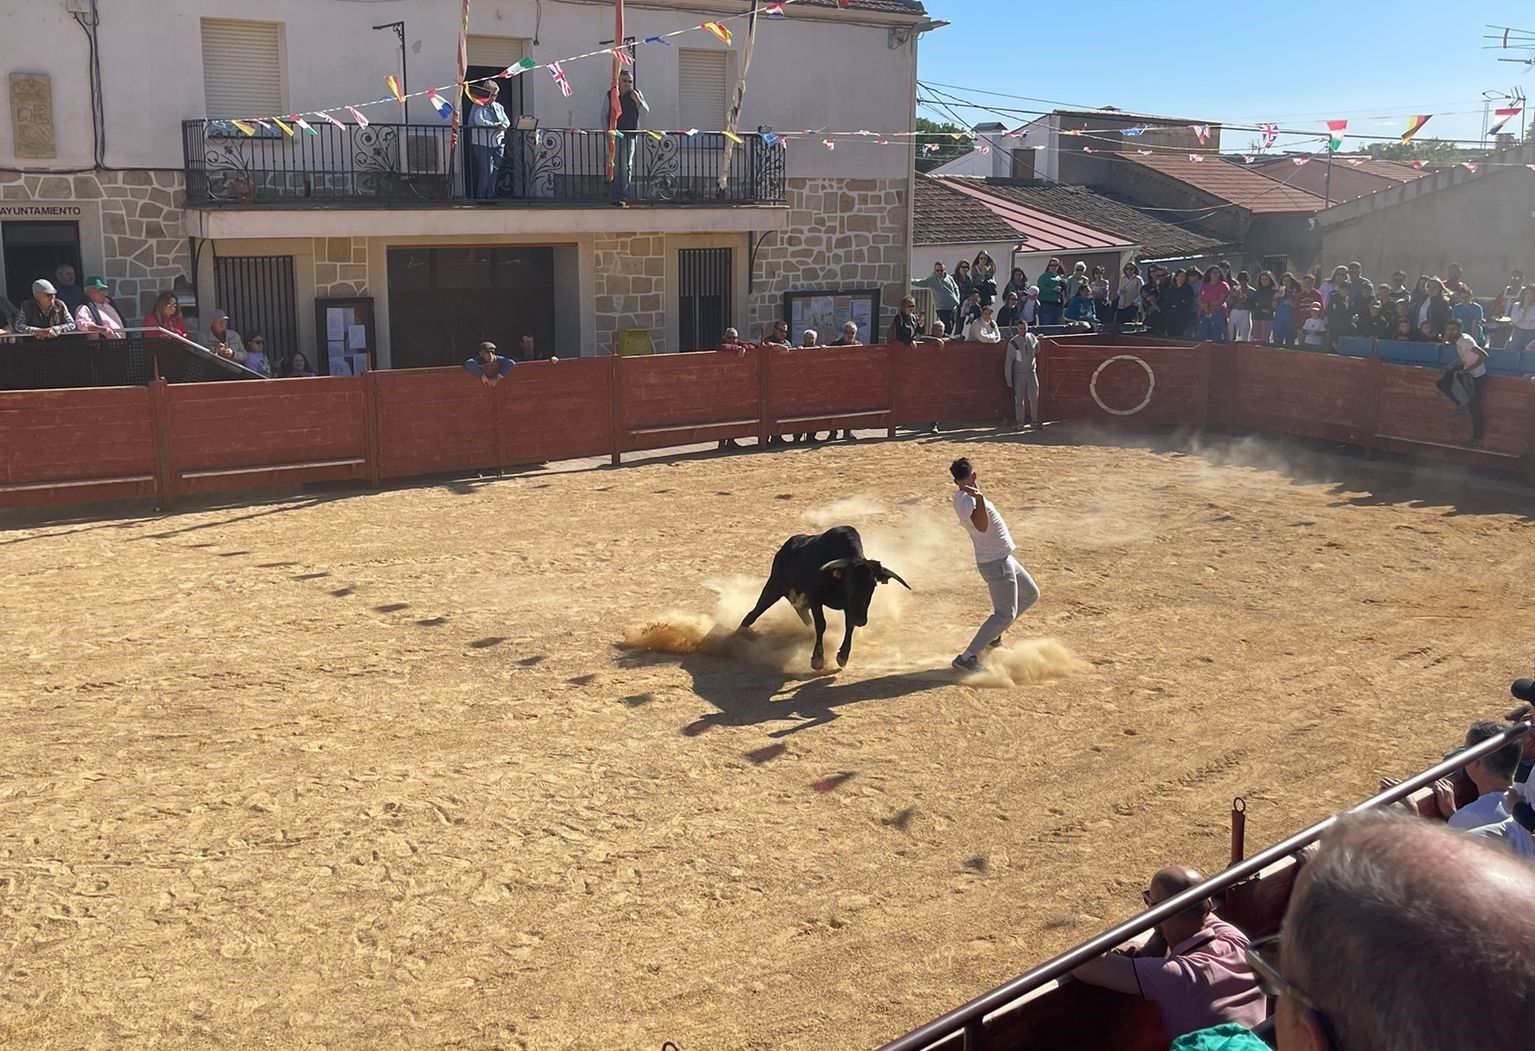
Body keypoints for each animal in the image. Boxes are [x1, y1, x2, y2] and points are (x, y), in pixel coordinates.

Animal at [733, 524, 902, 672]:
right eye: (850, 582)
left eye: (873, 585)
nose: (860, 620)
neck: (836, 579)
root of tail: (783, 550)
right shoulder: (816, 598)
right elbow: (821, 624)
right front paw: (817, 659)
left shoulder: (850, 607)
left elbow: (848, 625)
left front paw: (843, 656)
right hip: (775, 586)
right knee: (755, 611)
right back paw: (737, 636)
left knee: (801, 611)